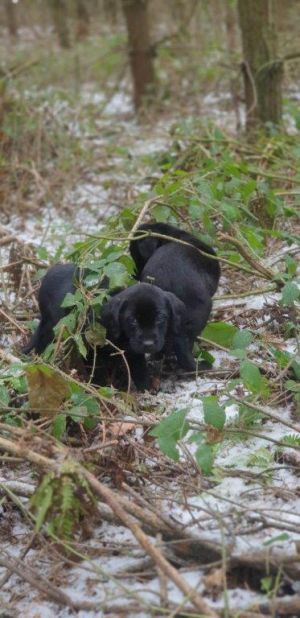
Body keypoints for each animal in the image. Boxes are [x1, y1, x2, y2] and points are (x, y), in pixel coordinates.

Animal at [24, 264, 188, 390]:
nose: (148, 344)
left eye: (160, 318)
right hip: (51, 326)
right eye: (132, 320)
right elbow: (97, 374)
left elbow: (139, 369)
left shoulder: (134, 350)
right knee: (41, 344)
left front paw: (145, 388)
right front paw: (101, 390)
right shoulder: (90, 348)